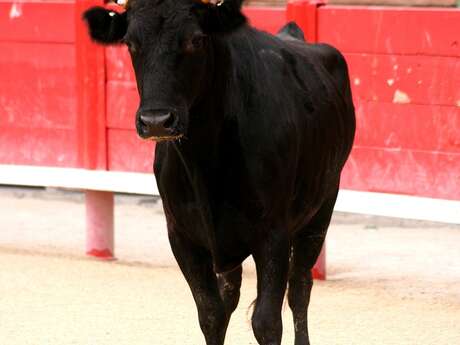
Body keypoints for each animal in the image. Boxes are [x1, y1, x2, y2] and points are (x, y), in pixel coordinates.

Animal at [83, 1, 356, 342]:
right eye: (130, 43)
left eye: (197, 39)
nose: (156, 121)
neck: (205, 161)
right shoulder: (182, 235)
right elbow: (211, 313)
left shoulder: (273, 235)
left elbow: (267, 321)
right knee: (231, 294)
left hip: (322, 205)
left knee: (300, 287)